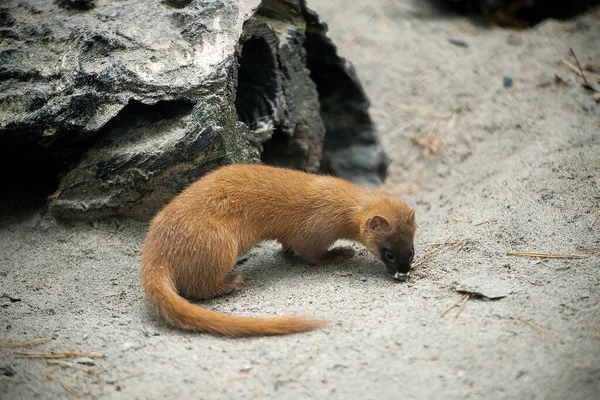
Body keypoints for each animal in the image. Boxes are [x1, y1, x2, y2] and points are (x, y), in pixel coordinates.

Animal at [139, 164, 418, 336]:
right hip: (219, 242)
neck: (336, 196)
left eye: (412, 251)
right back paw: (234, 281)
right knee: (199, 287)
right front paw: (341, 252)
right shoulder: (315, 228)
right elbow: (312, 254)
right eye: (388, 252)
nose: (403, 273)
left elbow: (290, 247)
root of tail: (154, 250)